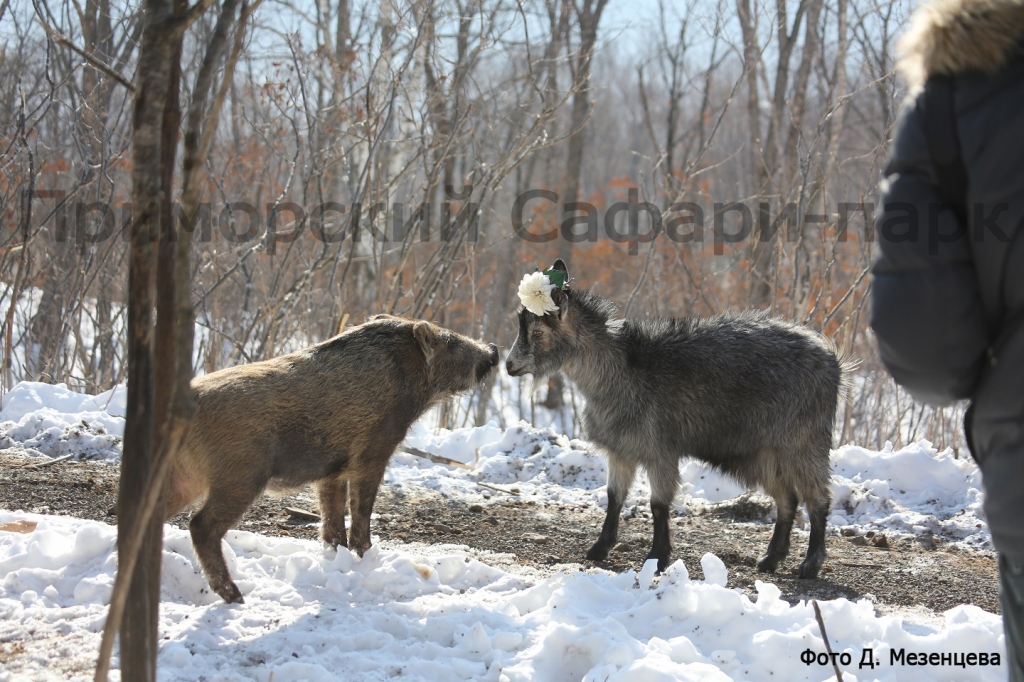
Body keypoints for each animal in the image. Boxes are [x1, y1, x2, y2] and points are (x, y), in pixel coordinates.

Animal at [505, 258, 847, 577]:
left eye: (538, 331)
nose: (509, 365)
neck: (622, 371)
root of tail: (833, 362)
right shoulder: (621, 451)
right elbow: (614, 498)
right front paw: (599, 548)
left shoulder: (660, 451)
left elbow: (658, 505)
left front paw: (658, 558)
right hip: (764, 453)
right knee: (787, 498)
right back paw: (770, 560)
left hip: (804, 443)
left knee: (818, 499)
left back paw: (810, 565)